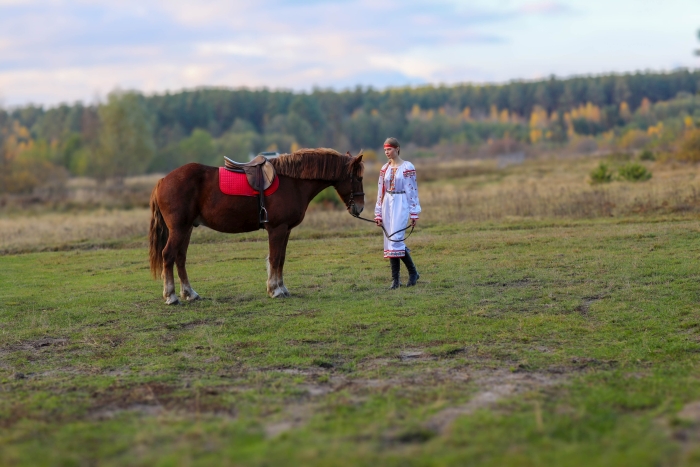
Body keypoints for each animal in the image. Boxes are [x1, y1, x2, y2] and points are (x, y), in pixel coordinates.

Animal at [148, 148, 365, 305]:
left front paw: (281, 288)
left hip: (187, 228)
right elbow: (275, 258)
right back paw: (171, 296)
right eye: (358, 178)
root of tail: (162, 180)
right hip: (179, 229)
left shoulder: (286, 230)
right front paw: (275, 290)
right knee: (168, 255)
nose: (360, 207)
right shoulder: (277, 229)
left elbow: (281, 259)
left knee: (180, 258)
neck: (292, 182)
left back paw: (189, 293)